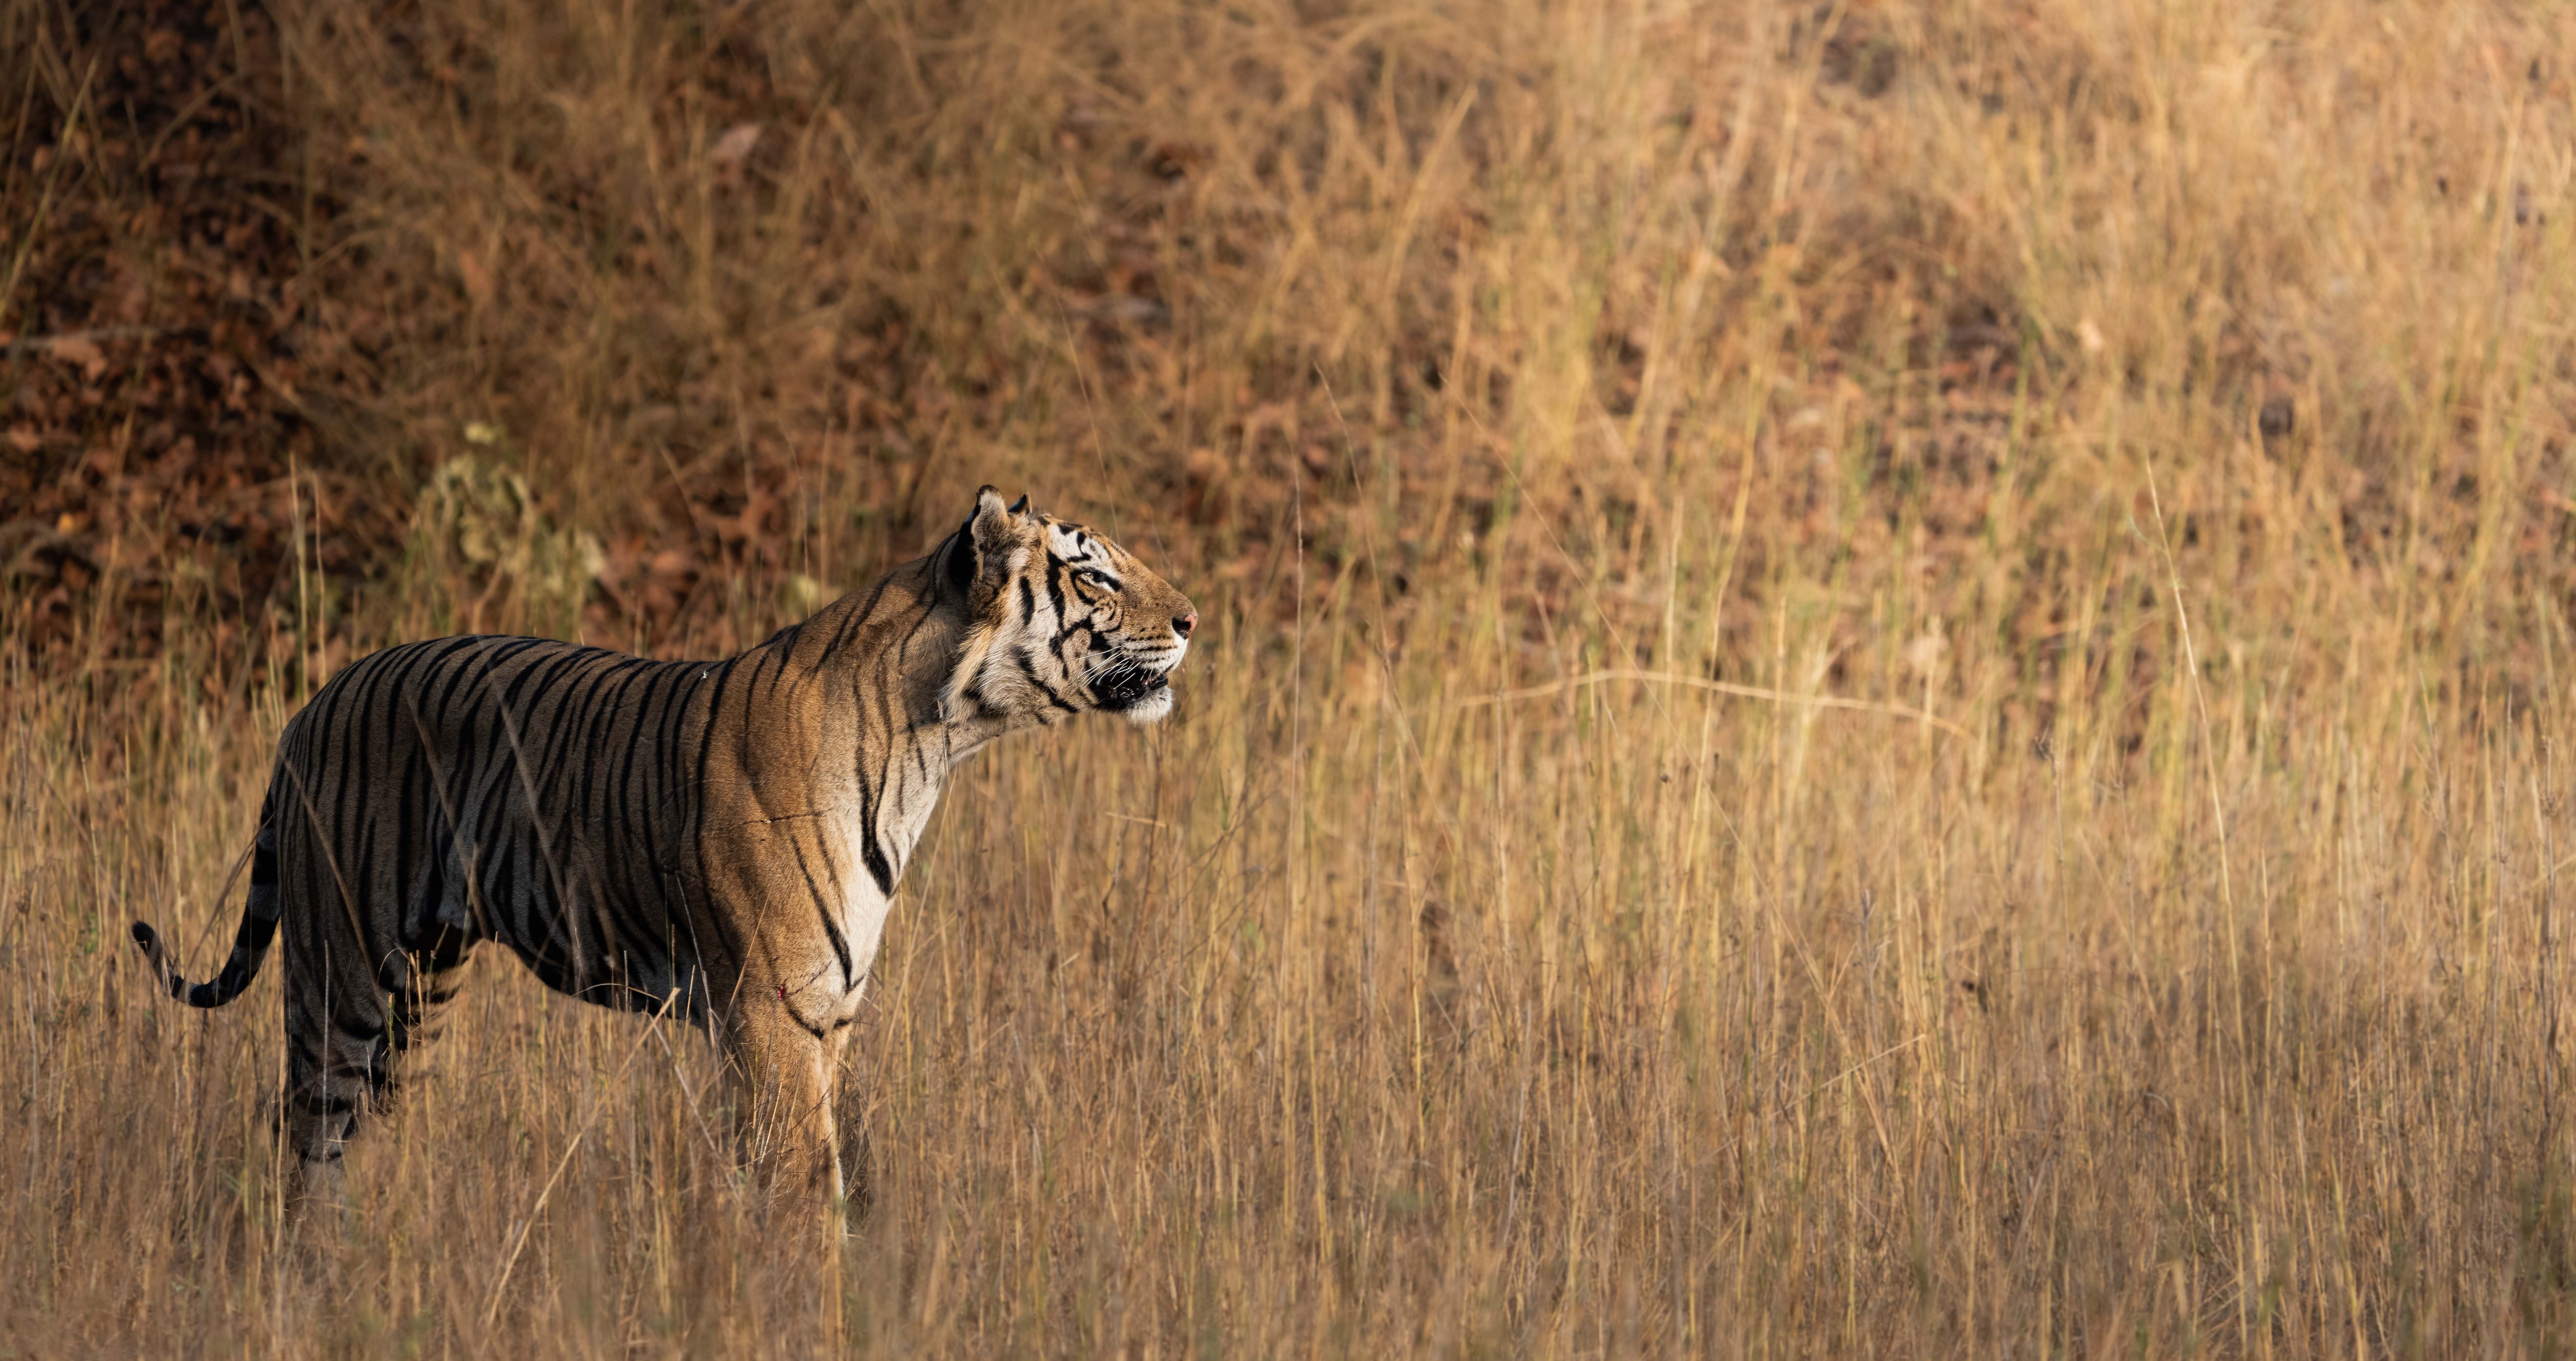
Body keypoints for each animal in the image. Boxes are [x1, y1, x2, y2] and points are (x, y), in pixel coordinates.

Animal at [129, 486, 1197, 1227]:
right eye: (1094, 576)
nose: (1192, 620)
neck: (934, 744)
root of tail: (313, 702)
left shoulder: (828, 1015)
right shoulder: (773, 1013)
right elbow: (806, 1190)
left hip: (423, 988)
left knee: (362, 1135)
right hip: (342, 967)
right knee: (305, 1134)